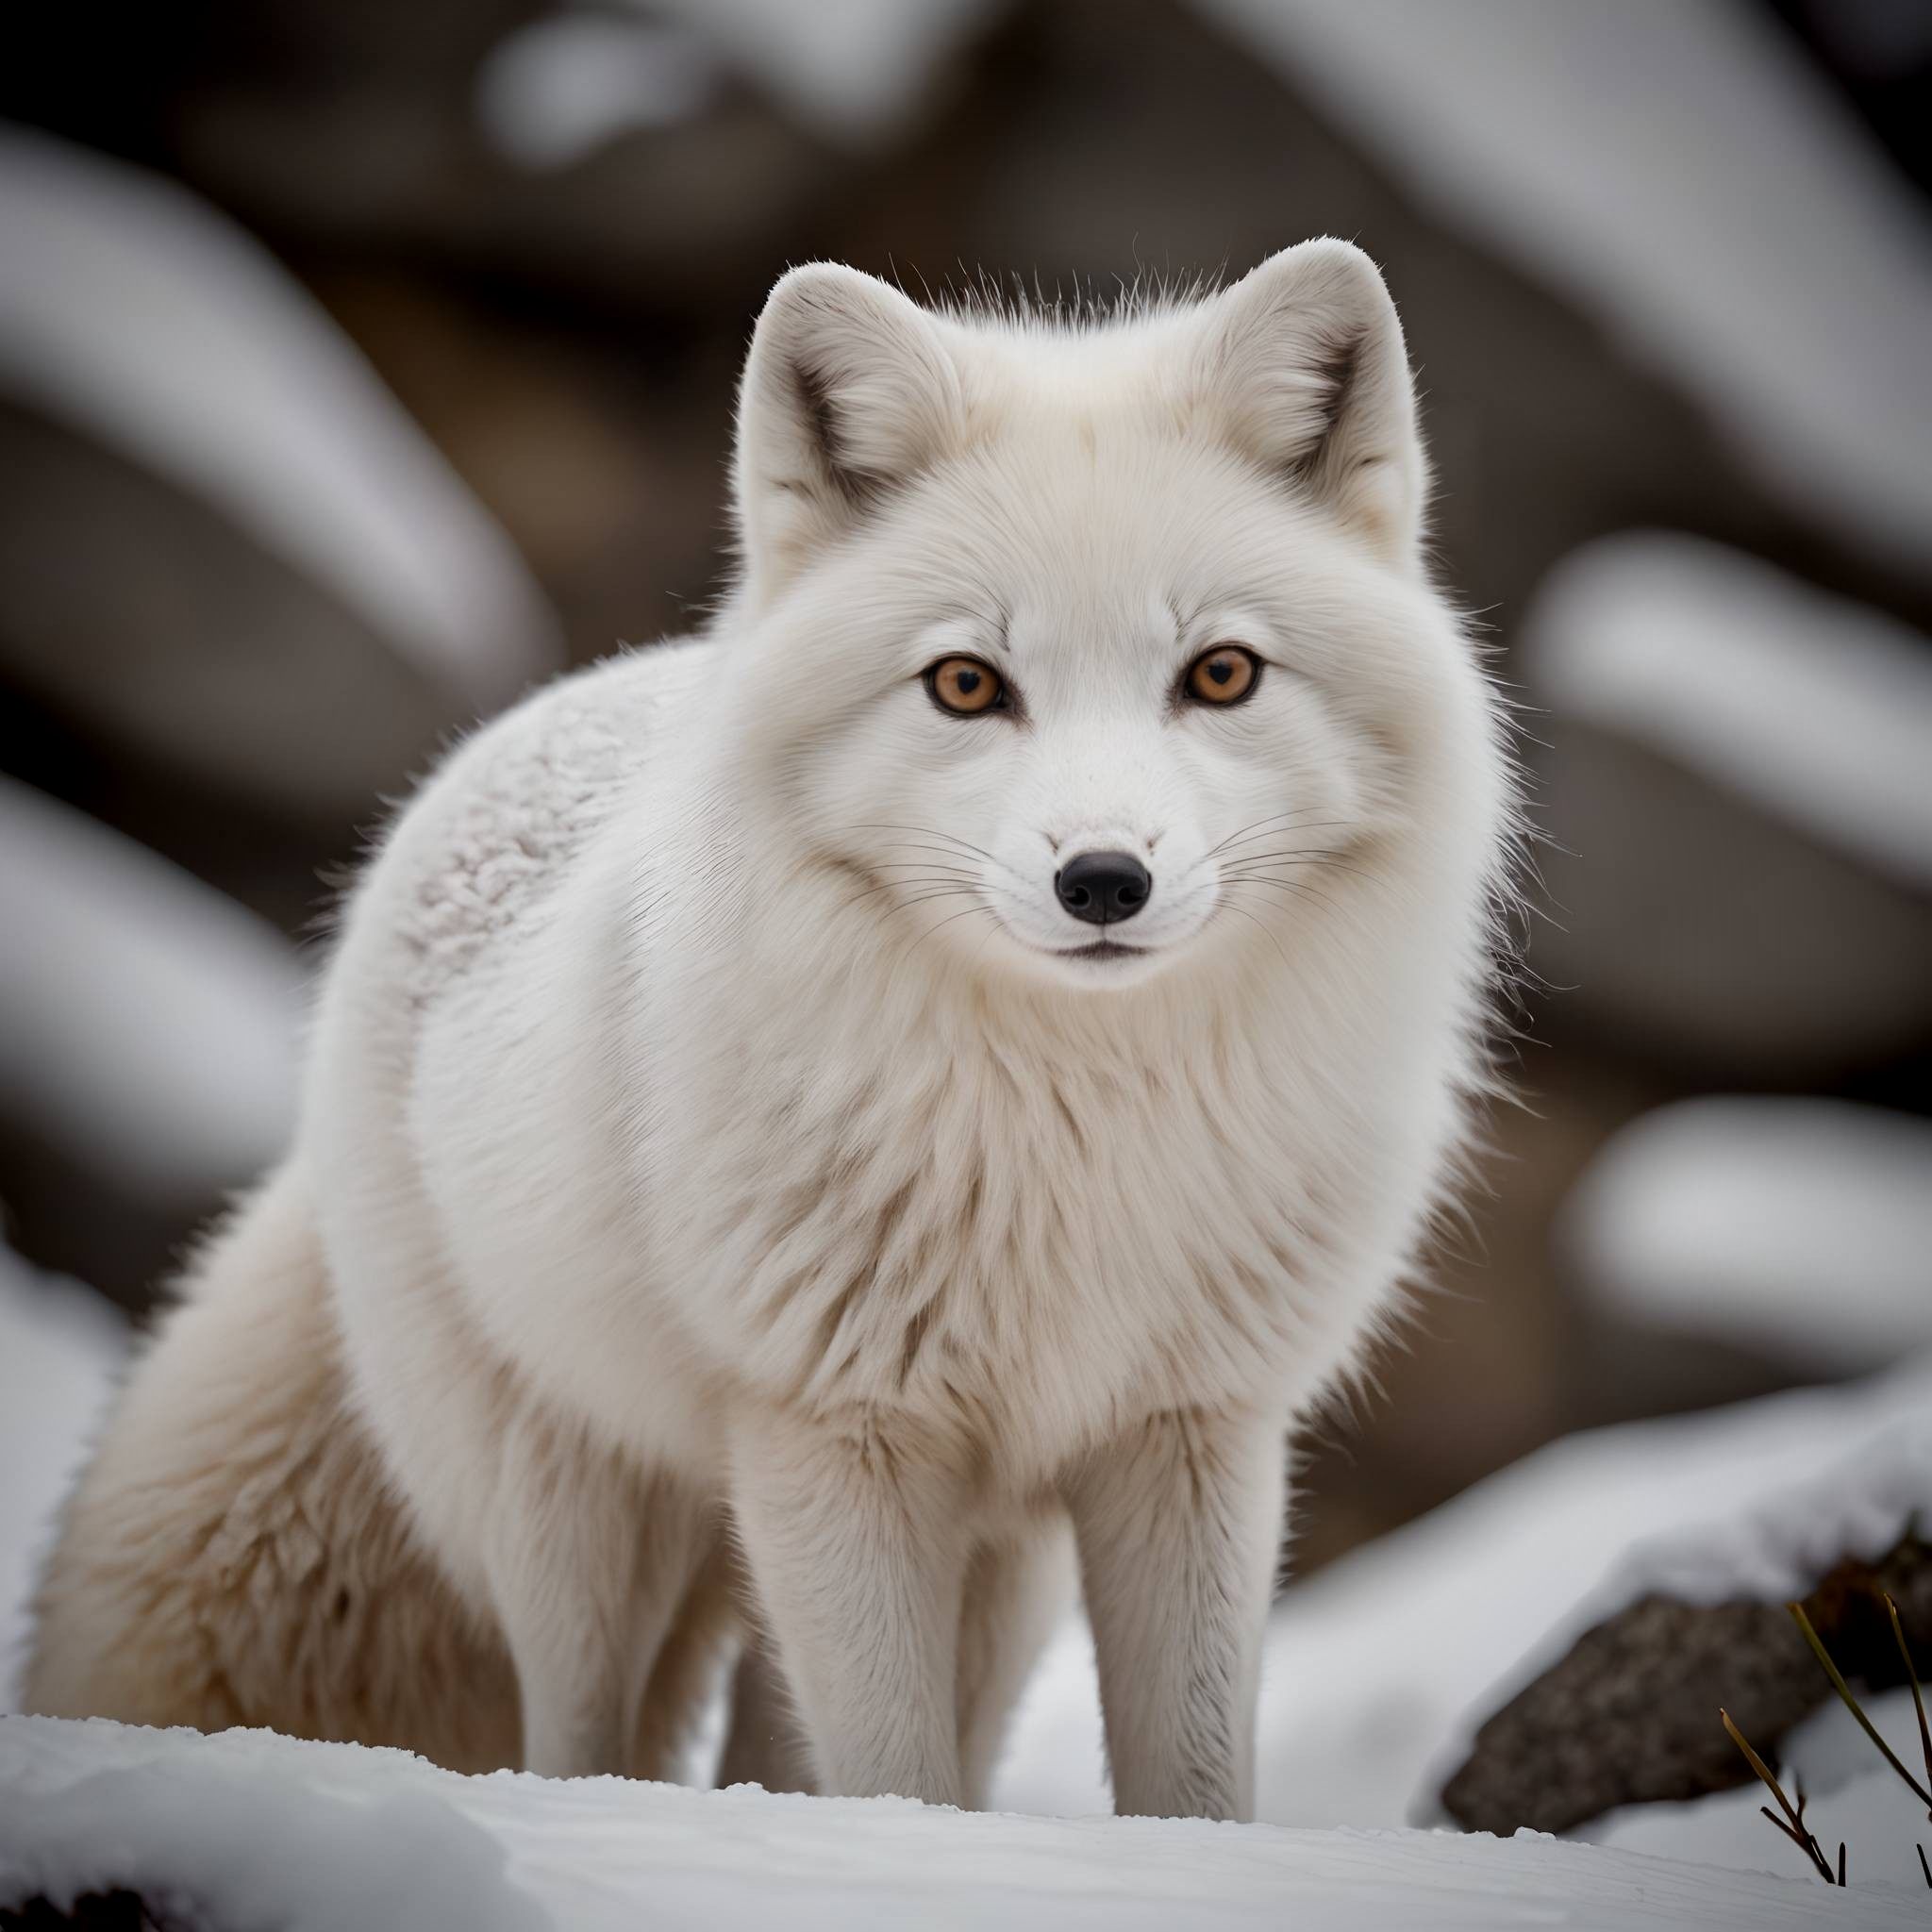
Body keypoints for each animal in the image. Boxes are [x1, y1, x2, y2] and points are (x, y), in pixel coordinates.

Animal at [23, 242, 1514, 1824]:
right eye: (968, 684)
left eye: (1221, 675)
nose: (1105, 881)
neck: (1078, 1132)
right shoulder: (833, 1432)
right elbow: (892, 1778)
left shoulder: (1189, 1433)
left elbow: (1190, 1780)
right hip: (587, 1517)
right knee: (587, 1738)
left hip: (990, 1575)